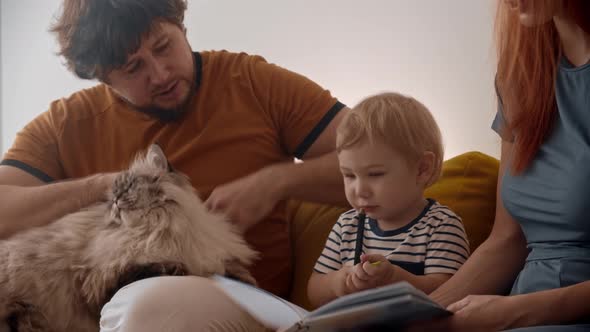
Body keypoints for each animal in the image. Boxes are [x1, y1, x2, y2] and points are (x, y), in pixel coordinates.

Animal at [0, 145, 260, 332]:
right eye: (112, 194)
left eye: (128, 187)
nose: (115, 202)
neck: (154, 229)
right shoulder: (98, 282)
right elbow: (142, 269)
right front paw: (174, 268)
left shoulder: (202, 254)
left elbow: (227, 268)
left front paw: (246, 281)